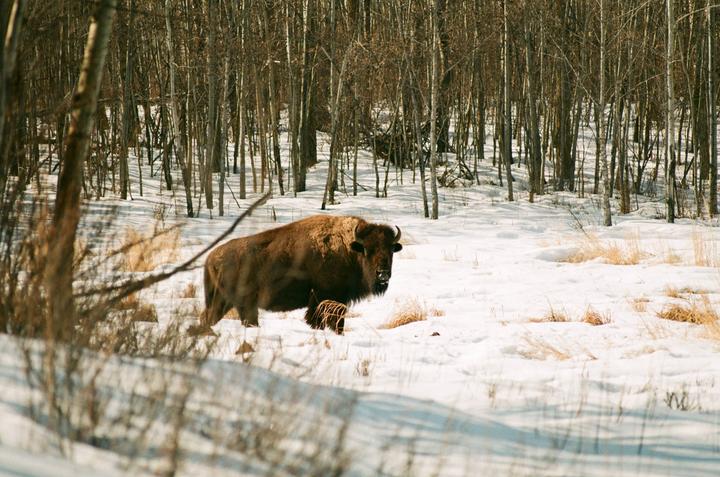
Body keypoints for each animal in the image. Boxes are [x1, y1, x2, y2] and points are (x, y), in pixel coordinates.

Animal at [191, 215, 402, 335]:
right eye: (368, 249)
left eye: (391, 249)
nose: (383, 274)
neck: (350, 249)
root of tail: (211, 257)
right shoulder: (328, 299)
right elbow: (331, 323)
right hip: (240, 304)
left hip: (222, 301)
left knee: (207, 317)